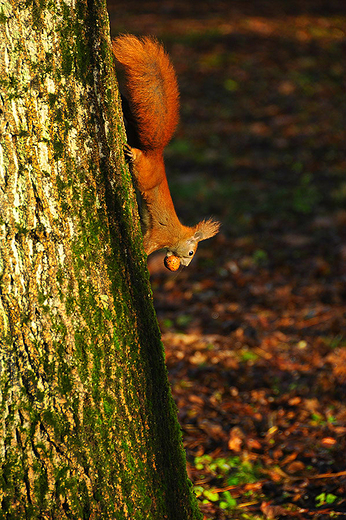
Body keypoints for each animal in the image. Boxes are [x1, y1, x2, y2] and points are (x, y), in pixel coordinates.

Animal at [113, 35, 222, 272]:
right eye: (191, 252)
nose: (185, 266)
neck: (179, 234)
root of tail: (156, 154)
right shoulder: (161, 235)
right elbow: (148, 245)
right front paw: (141, 258)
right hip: (145, 175)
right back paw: (132, 154)